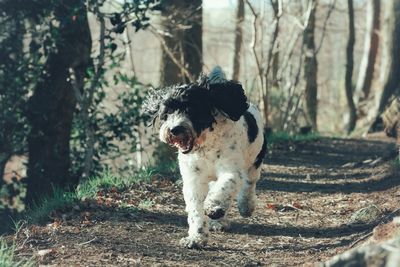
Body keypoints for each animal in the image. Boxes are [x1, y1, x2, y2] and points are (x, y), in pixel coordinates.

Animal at [143, 66, 266, 249]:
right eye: (167, 112)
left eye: (191, 109)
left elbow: (224, 187)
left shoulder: (231, 171)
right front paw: (196, 237)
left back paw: (244, 206)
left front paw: (212, 206)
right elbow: (195, 209)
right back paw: (219, 220)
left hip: (254, 162)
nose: (174, 129)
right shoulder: (193, 179)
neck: (206, 146)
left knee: (249, 184)